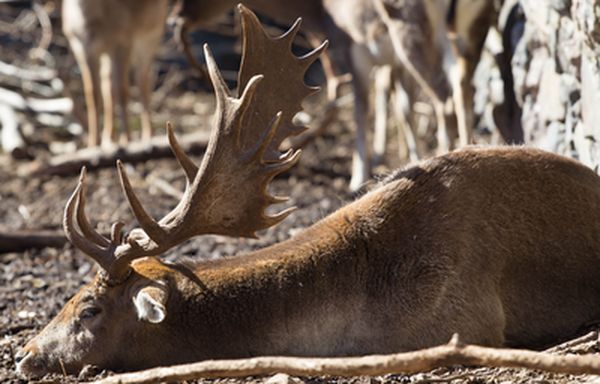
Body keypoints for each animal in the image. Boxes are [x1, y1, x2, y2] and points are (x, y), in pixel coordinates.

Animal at [62, 0, 169, 148]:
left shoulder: (123, 40)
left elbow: (123, 91)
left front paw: (127, 139)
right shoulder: (81, 46)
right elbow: (92, 94)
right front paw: (93, 143)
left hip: (151, 36)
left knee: (143, 80)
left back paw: (147, 136)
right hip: (108, 54)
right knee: (108, 86)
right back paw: (109, 138)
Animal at [171, 0, 494, 190]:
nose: (176, 18)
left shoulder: (355, 48)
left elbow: (362, 111)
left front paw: (358, 178)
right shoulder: (389, 62)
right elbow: (400, 105)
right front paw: (403, 159)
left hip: (413, 34)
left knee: (444, 95)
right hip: (468, 34)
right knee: (463, 86)